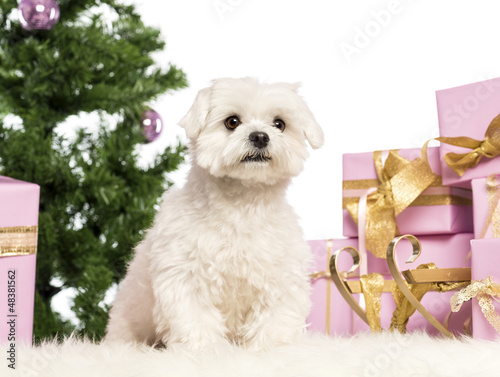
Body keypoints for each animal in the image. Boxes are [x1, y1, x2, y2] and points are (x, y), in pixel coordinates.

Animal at [105, 76, 324, 350]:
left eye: (279, 124)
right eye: (232, 122)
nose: (260, 136)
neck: (241, 206)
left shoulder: (281, 280)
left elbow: (275, 322)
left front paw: (271, 348)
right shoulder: (185, 278)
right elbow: (197, 322)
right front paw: (205, 350)